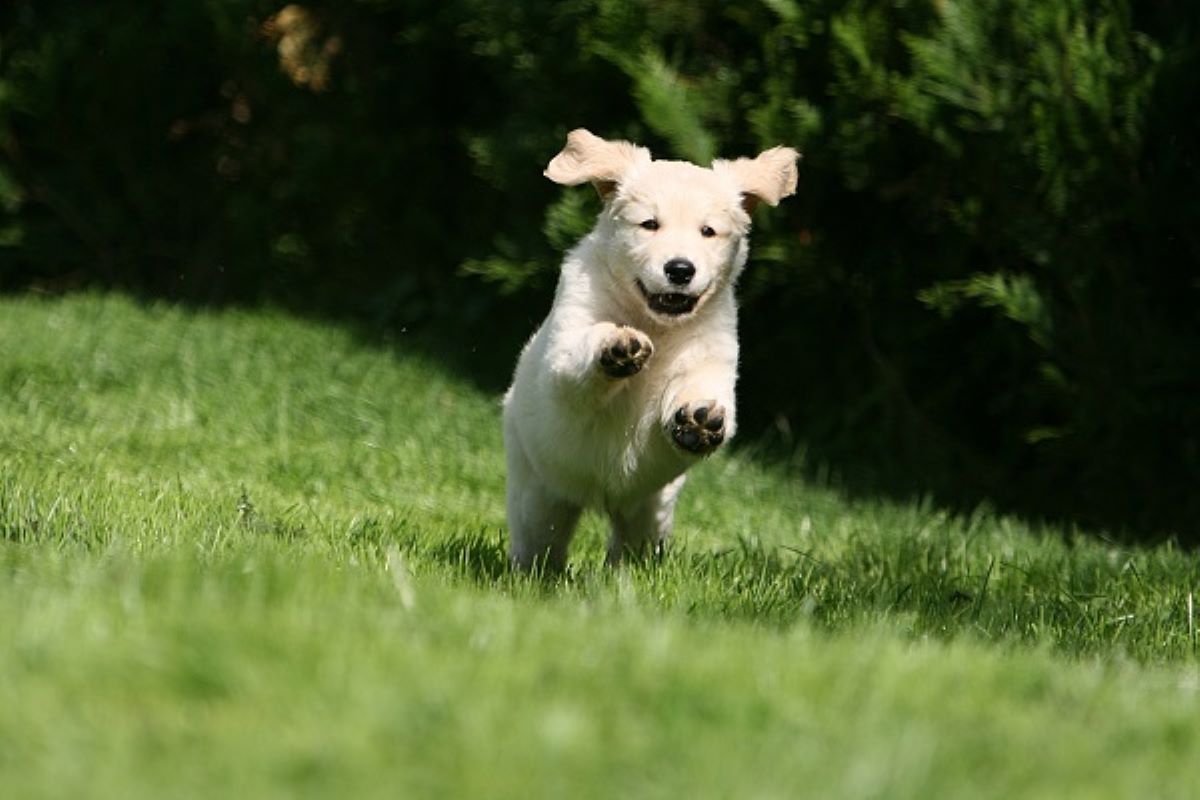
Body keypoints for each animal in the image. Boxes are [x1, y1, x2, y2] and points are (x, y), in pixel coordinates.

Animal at [501, 130, 801, 568]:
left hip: (651, 509)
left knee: (631, 548)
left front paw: (700, 419)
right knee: (540, 542)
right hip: (538, 492)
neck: (656, 324)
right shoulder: (564, 353)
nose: (680, 270)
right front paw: (616, 346)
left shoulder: (712, 356)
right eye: (650, 224)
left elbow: (704, 394)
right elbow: (580, 358)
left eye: (708, 231)